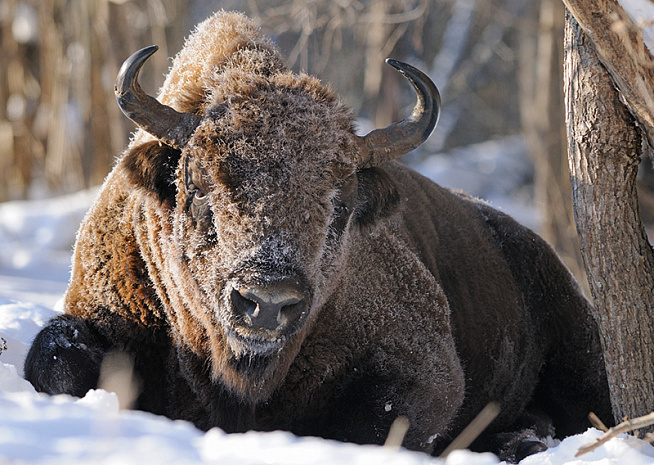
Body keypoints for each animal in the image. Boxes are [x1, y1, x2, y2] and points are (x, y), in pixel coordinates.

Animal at [21, 10, 616, 460]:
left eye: (341, 206)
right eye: (198, 185)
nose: (266, 302)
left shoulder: (422, 367)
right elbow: (54, 362)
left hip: (585, 357)